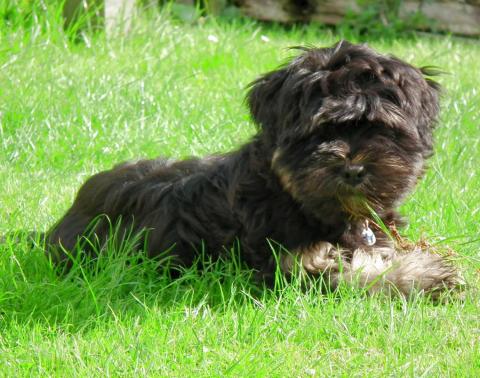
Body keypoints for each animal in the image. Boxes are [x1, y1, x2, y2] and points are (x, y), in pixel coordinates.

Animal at [46, 40, 462, 298]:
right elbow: (350, 275)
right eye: (319, 132)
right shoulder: (285, 265)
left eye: (379, 128)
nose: (354, 170)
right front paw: (425, 275)